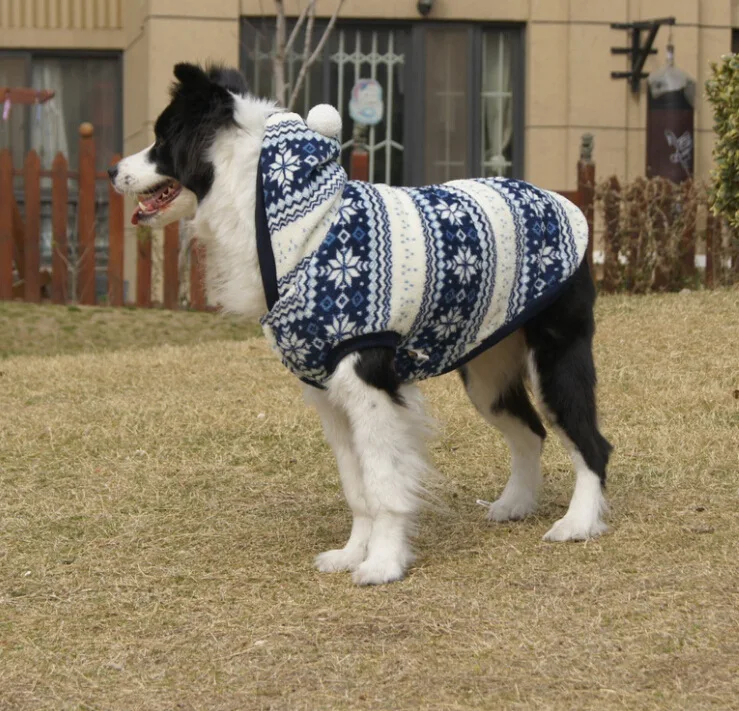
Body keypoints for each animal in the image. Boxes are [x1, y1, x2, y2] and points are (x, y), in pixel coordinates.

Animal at [110, 62, 616, 584]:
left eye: (162, 139)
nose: (112, 171)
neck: (290, 220)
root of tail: (565, 204)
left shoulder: (371, 386)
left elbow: (383, 484)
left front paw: (384, 563)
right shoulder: (328, 393)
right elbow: (357, 487)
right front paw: (353, 553)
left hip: (557, 360)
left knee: (592, 443)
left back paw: (578, 523)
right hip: (487, 374)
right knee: (531, 433)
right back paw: (515, 504)